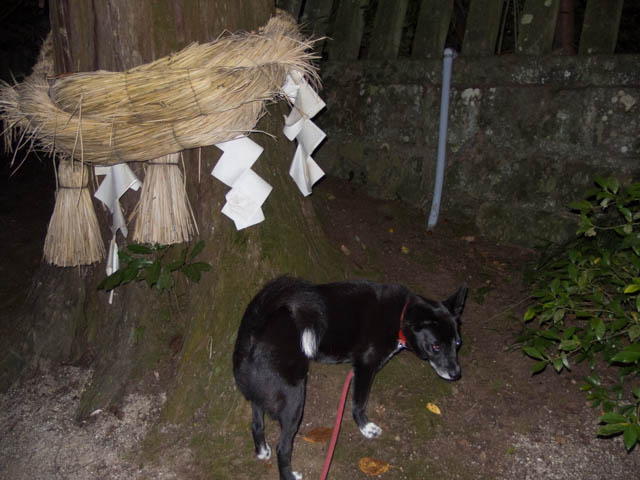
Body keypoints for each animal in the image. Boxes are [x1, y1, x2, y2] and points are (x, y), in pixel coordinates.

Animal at [232, 276, 467, 480]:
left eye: (457, 343)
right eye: (435, 346)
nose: (456, 374)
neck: (400, 317)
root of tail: (254, 331)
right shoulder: (365, 368)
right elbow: (359, 403)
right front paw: (366, 428)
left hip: (262, 392)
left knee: (256, 424)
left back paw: (262, 450)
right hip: (294, 400)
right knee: (283, 447)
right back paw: (289, 475)